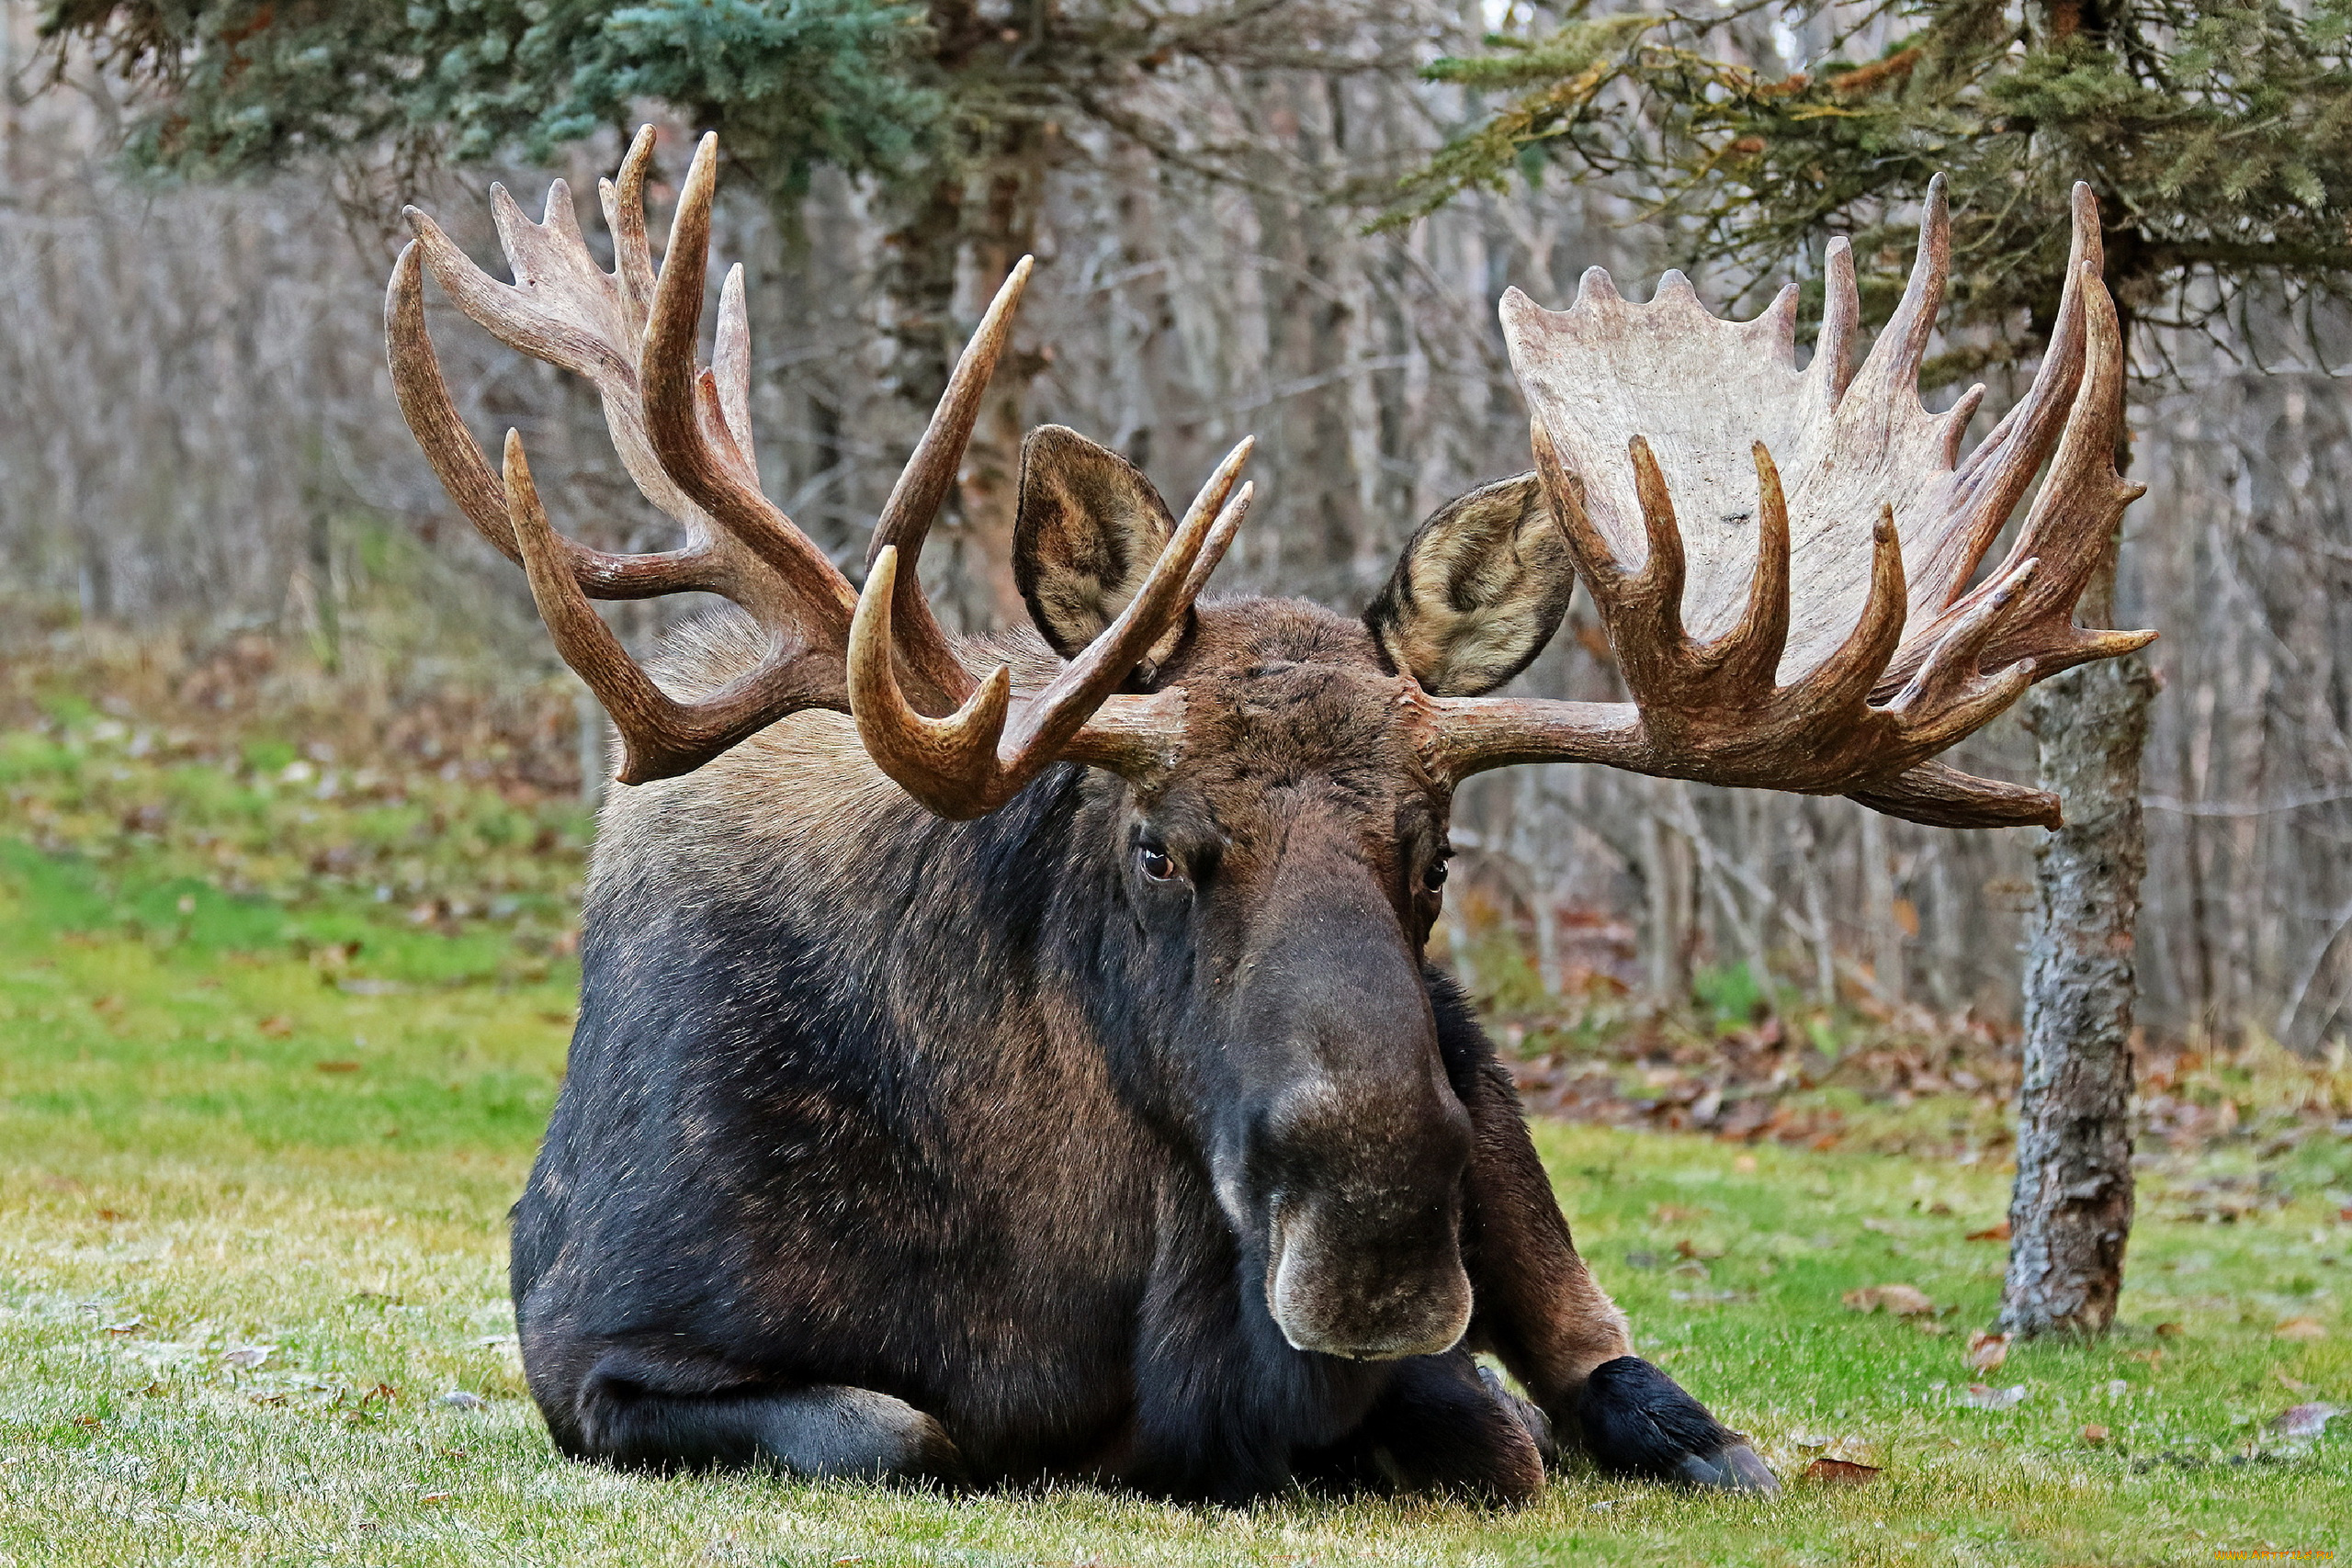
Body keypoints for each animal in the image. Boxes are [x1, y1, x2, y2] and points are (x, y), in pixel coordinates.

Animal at [386, 127, 2150, 1503]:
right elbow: (901, 1426)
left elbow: (1495, 1430)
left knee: (1613, 1364)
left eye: (1436, 855)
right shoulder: (601, 1349)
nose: (1378, 1234)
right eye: (1158, 843)